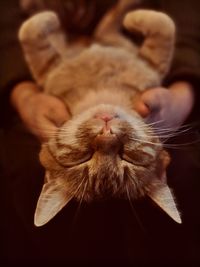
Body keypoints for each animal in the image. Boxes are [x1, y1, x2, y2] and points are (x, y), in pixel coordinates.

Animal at [18, 0, 181, 227]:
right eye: (84, 158)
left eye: (127, 156)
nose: (106, 133)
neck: (102, 90)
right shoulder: (47, 70)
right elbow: (30, 31)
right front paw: (51, 18)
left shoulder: (153, 64)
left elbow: (164, 24)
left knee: (106, 27)